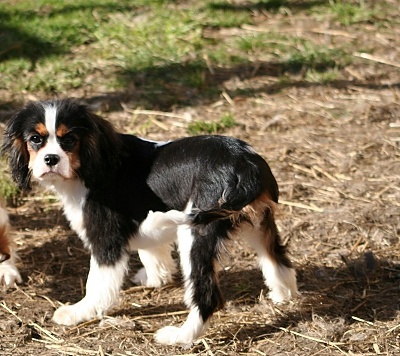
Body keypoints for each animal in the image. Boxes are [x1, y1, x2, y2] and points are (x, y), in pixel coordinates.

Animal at [2, 97, 296, 344]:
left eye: (70, 139)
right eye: (35, 139)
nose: (51, 159)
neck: (90, 164)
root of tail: (247, 164)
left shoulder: (105, 239)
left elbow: (96, 283)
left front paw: (79, 312)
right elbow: (151, 252)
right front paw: (155, 278)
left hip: (195, 233)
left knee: (207, 296)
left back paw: (179, 337)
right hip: (260, 222)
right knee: (279, 263)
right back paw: (283, 297)